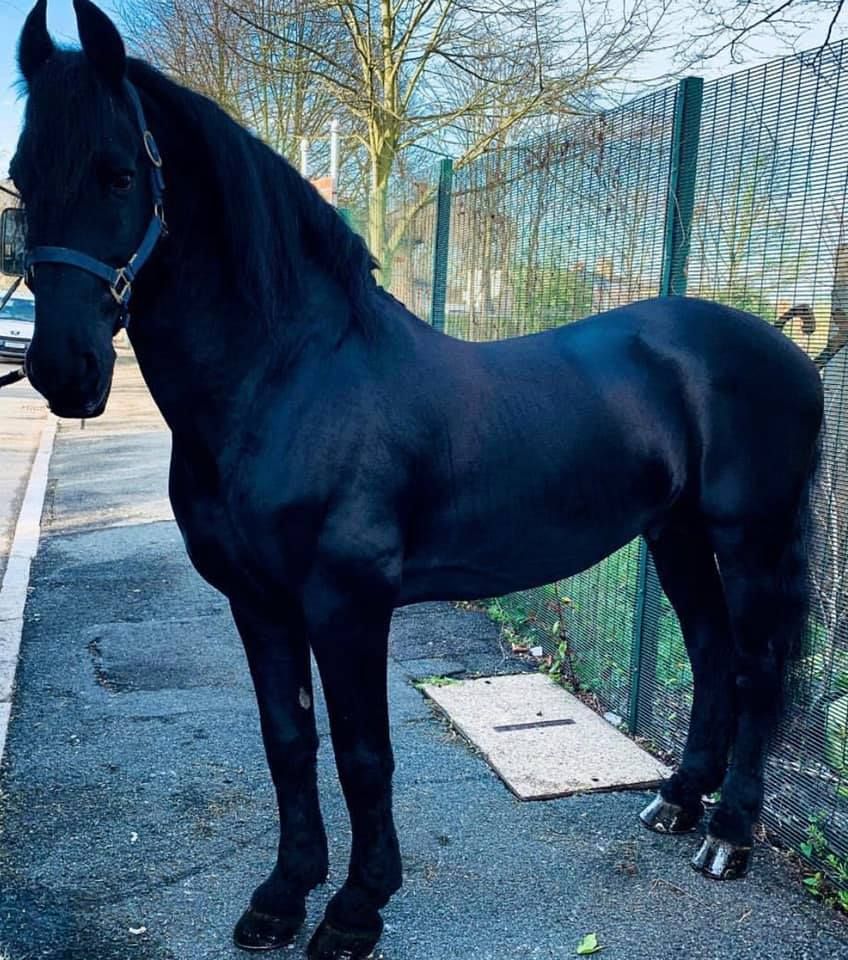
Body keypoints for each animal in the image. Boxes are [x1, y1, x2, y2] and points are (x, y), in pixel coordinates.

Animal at [10, 2, 823, 958]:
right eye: (21, 178)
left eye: (119, 173)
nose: (63, 370)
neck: (288, 379)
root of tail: (785, 346)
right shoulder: (258, 602)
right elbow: (288, 739)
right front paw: (282, 895)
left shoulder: (347, 603)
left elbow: (363, 753)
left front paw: (356, 908)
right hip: (676, 534)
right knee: (710, 653)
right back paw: (677, 802)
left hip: (751, 538)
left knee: (757, 668)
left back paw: (729, 836)